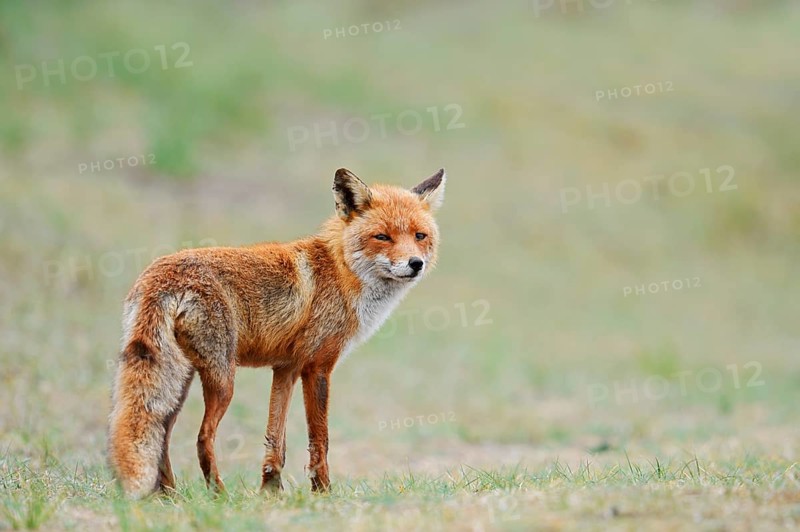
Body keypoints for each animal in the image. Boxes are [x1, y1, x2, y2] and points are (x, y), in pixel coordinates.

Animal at [108, 167, 446, 498]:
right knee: (202, 437)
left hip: (181, 379)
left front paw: (270, 490)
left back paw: (169, 496)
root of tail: (160, 276)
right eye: (382, 237)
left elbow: (275, 439)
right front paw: (323, 492)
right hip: (223, 379)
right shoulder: (317, 367)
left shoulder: (286, 368)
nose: (415, 263)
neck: (342, 271)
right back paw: (218, 495)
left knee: (161, 431)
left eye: (419, 236)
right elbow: (319, 439)